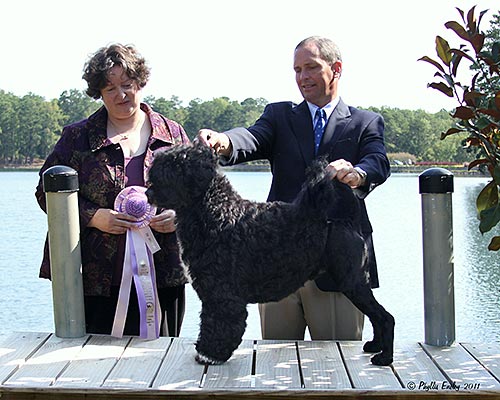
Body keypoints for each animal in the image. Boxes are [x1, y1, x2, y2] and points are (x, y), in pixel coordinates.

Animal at [146, 142, 394, 368]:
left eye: (174, 166)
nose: (148, 191)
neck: (216, 213)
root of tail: (347, 222)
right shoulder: (213, 292)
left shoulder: (222, 295)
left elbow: (219, 324)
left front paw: (210, 354)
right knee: (377, 316)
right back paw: (375, 346)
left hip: (352, 282)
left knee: (385, 317)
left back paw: (384, 357)